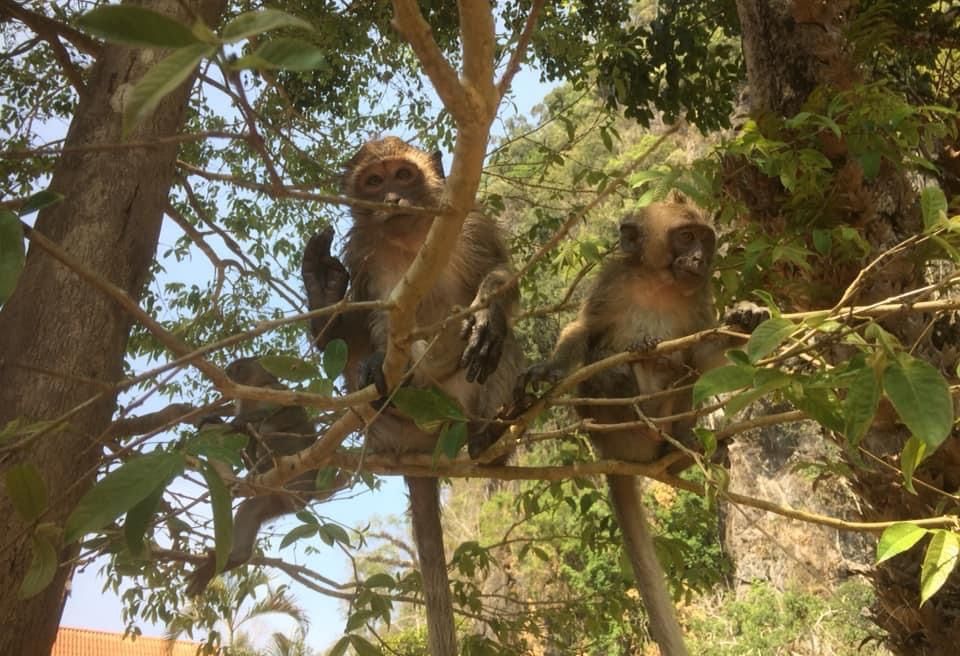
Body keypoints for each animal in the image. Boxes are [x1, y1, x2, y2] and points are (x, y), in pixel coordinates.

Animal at [186, 357, 341, 596]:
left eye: (236, 367)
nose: (227, 372)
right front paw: (216, 420)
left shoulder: (274, 389)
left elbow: (284, 408)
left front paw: (238, 422)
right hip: (278, 498)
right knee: (250, 509)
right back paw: (235, 557)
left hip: (298, 470)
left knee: (273, 424)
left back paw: (265, 458)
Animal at [301, 137, 523, 656]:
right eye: (373, 181)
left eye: (403, 175)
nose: (391, 198)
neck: (410, 240)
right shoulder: (364, 257)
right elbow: (363, 331)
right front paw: (325, 288)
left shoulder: (471, 224)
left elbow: (502, 274)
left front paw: (489, 311)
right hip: (388, 430)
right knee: (356, 360)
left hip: (458, 410)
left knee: (503, 348)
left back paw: (490, 438)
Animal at [522, 194, 765, 656]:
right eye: (685, 236)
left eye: (704, 238)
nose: (700, 258)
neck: (659, 282)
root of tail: (616, 457)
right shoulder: (612, 280)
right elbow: (584, 330)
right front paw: (550, 369)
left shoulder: (699, 294)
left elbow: (705, 356)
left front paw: (744, 318)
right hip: (611, 429)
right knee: (608, 367)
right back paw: (636, 378)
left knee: (686, 371)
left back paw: (682, 444)